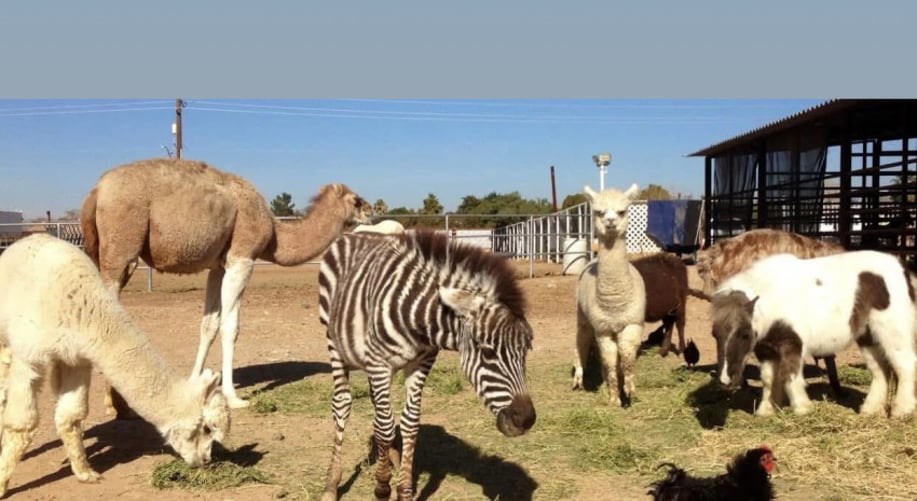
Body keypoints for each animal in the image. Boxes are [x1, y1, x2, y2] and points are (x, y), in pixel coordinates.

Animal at [0, 234, 231, 496]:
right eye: (208, 428)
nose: (205, 460)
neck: (77, 310)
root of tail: (31, 237)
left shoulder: (76, 359)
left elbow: (71, 416)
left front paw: (85, 473)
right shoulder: (29, 355)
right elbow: (22, 423)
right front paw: (2, 483)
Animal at [80, 158, 372, 416]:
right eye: (355, 200)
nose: (372, 210)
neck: (274, 234)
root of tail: (96, 192)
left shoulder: (217, 267)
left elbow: (208, 325)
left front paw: (194, 383)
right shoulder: (241, 257)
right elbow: (231, 327)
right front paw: (234, 397)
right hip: (121, 251)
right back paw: (117, 406)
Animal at [572, 183, 647, 406]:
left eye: (622, 211)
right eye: (599, 212)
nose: (611, 221)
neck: (615, 304)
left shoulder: (632, 323)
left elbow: (627, 356)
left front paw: (629, 390)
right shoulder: (603, 328)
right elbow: (610, 359)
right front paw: (614, 398)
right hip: (582, 314)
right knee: (582, 338)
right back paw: (579, 378)